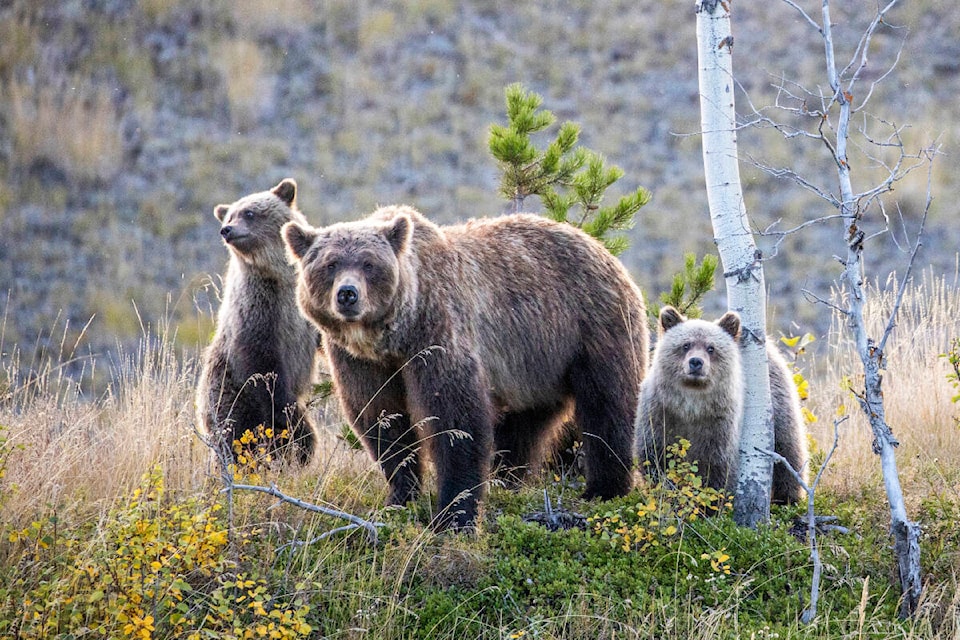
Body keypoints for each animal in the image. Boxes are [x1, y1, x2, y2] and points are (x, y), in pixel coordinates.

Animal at [197, 179, 320, 464]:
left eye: (249, 213)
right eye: (230, 215)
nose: (226, 230)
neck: (278, 275)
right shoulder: (258, 307)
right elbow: (262, 364)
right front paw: (289, 423)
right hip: (228, 396)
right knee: (235, 438)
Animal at [282, 206, 648, 528]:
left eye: (369, 263)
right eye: (330, 264)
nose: (347, 294)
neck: (395, 338)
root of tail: (600, 247)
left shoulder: (438, 333)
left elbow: (456, 421)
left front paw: (454, 514)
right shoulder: (360, 362)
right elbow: (382, 420)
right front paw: (399, 495)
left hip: (589, 327)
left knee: (607, 404)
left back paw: (604, 488)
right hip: (534, 365)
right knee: (524, 425)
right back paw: (507, 479)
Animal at [636, 306, 808, 504]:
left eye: (711, 348)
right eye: (686, 345)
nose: (696, 362)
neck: (691, 406)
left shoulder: (718, 426)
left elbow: (718, 468)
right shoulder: (660, 415)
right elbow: (655, 458)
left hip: (778, 404)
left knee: (788, 451)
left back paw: (787, 498)